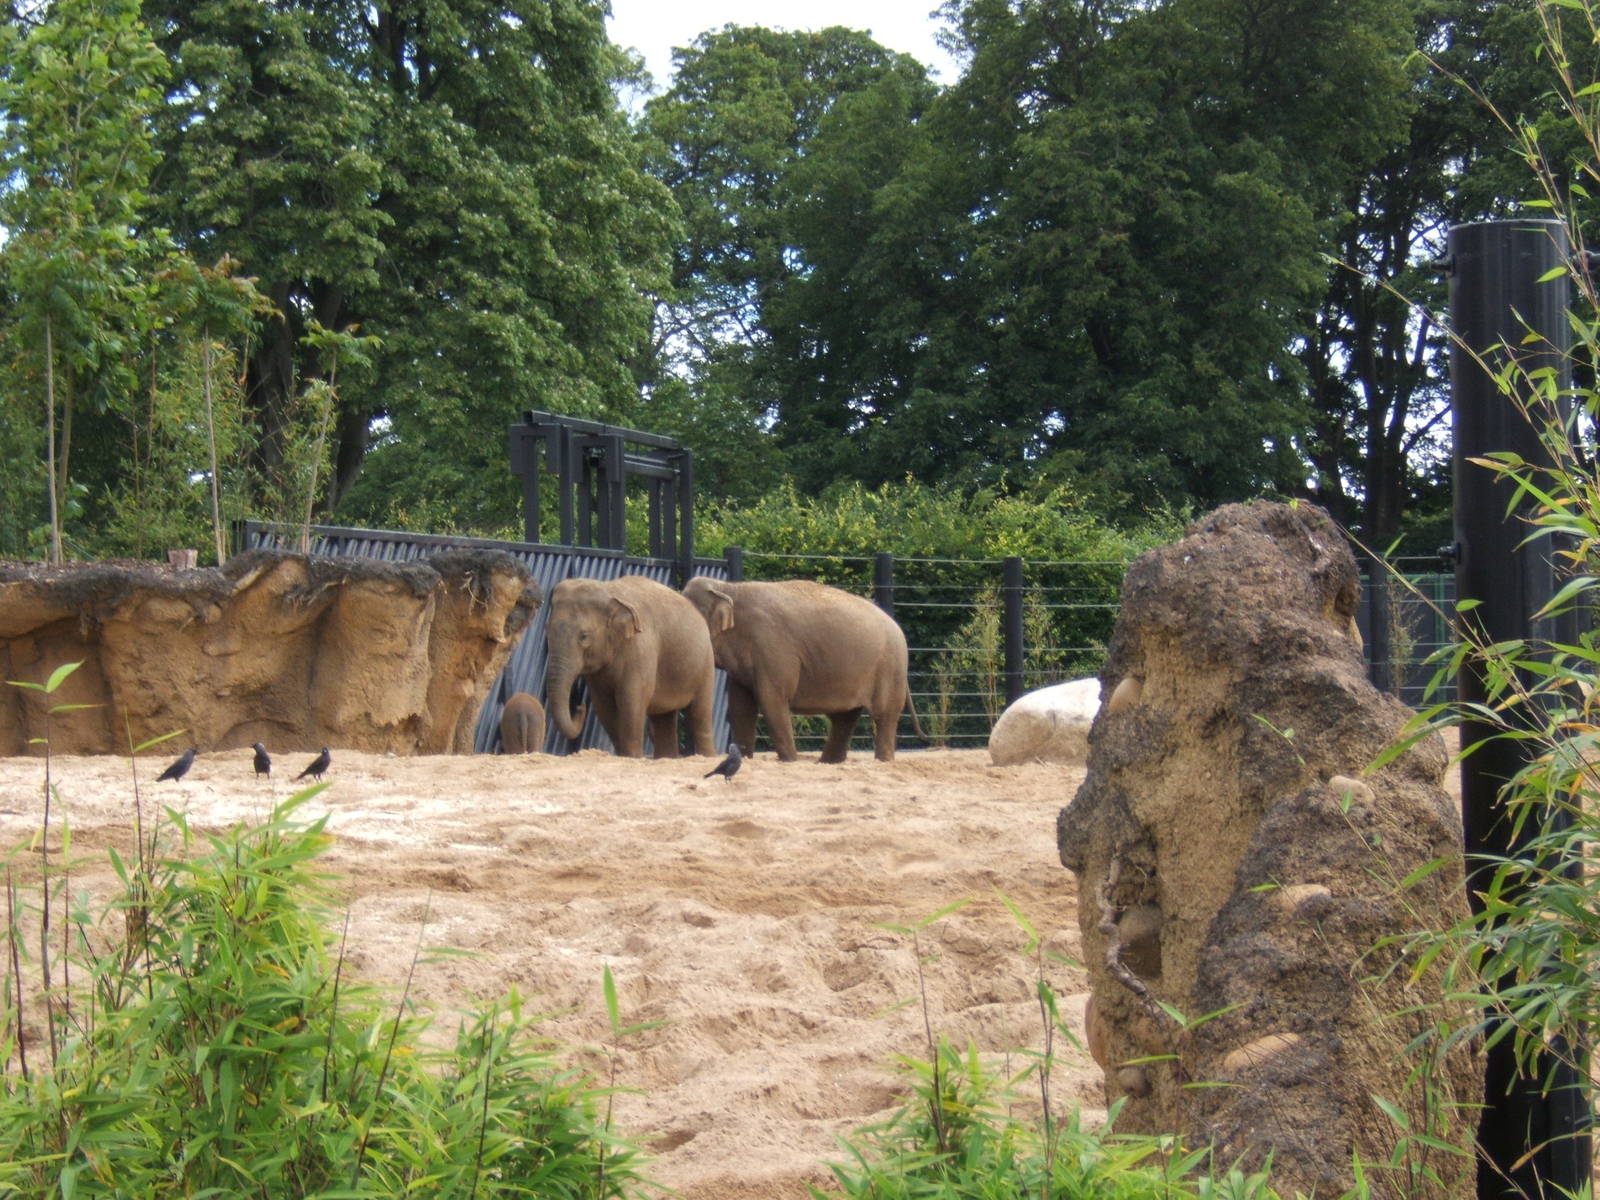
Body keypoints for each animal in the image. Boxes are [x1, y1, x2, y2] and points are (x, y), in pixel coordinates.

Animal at [543, 575, 717, 759]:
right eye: (547, 629)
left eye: (584, 636)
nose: (579, 706)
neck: (609, 591)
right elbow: (603, 705)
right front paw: (622, 755)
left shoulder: (641, 648)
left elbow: (632, 699)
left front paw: (631, 757)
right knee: (664, 717)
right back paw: (666, 757)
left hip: (706, 662)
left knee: (700, 712)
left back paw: (707, 756)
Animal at [681, 576, 923, 763]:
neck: (728, 587)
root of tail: (897, 627)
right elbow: (740, 707)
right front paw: (744, 759)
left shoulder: (772, 646)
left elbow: (772, 699)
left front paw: (790, 760)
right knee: (844, 718)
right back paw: (828, 763)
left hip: (889, 666)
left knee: (883, 715)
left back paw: (882, 761)